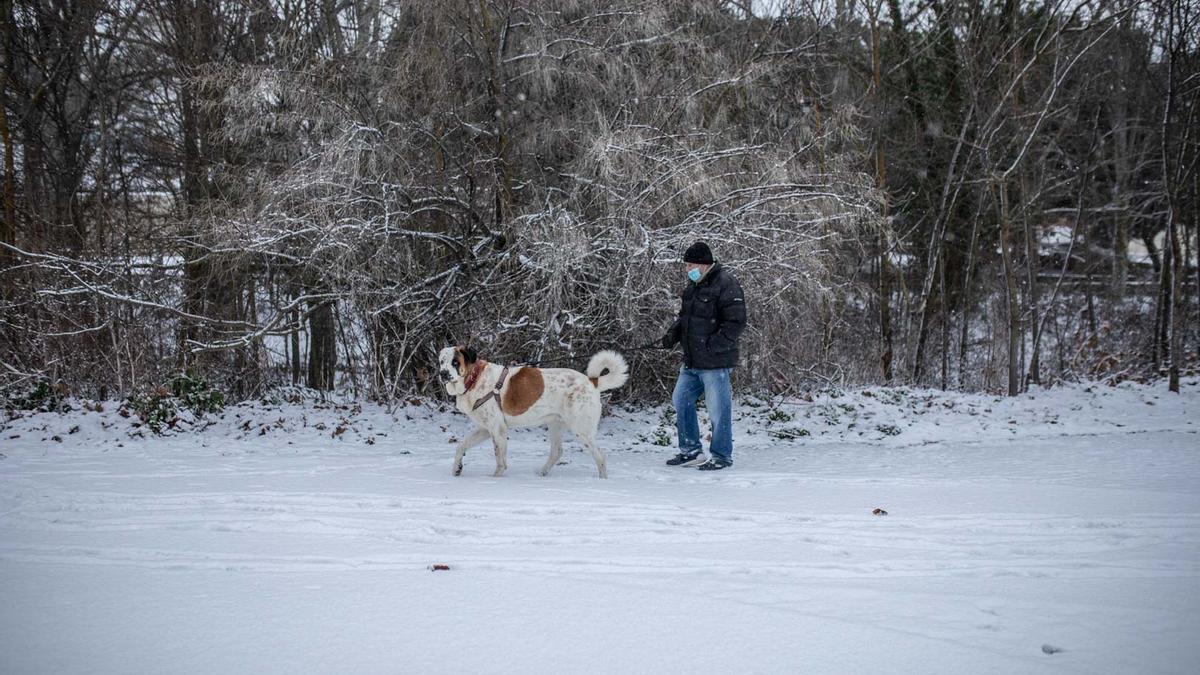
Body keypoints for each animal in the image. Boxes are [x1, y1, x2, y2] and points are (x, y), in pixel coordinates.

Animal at [439, 343, 628, 475]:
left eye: (455, 362)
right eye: (441, 362)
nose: (442, 373)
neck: (474, 378)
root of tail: (591, 381)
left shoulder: (497, 429)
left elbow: (500, 461)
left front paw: (495, 479)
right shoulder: (485, 429)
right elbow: (461, 447)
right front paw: (457, 468)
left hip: (581, 429)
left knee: (600, 456)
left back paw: (602, 480)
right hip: (555, 425)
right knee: (557, 452)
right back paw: (542, 474)